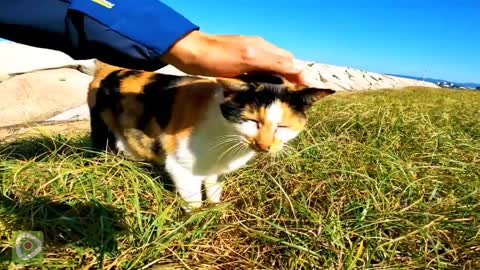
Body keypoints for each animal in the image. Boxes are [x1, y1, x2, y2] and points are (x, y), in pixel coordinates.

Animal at [87, 61, 334, 211]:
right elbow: (194, 200)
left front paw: (216, 210)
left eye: (282, 126)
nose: (264, 146)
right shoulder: (181, 167)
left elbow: (214, 189)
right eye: (253, 121)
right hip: (103, 132)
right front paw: (197, 222)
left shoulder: (217, 170)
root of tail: (107, 69)